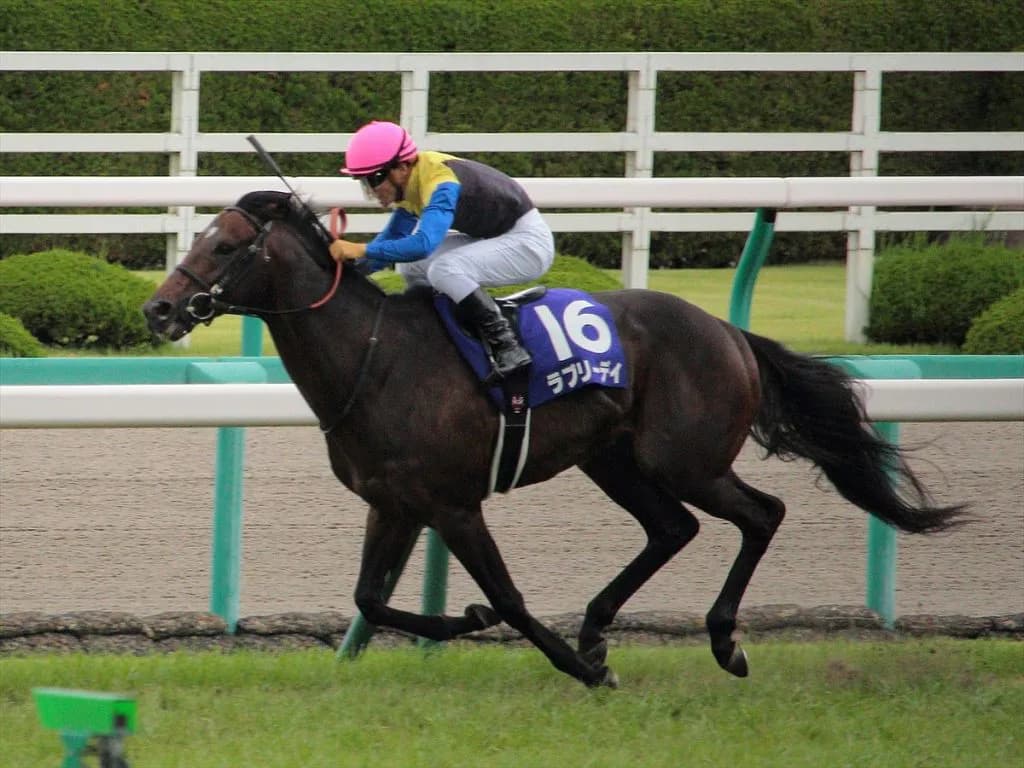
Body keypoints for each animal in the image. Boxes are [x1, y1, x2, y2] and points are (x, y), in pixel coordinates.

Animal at [143, 190, 966, 688]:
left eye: (225, 247)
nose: (159, 309)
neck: (377, 357)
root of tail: (727, 330)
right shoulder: (395, 503)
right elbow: (370, 600)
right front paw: (472, 622)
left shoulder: (453, 504)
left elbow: (507, 599)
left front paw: (574, 665)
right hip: (613, 459)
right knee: (673, 528)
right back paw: (600, 627)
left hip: (686, 458)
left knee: (761, 514)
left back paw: (721, 641)